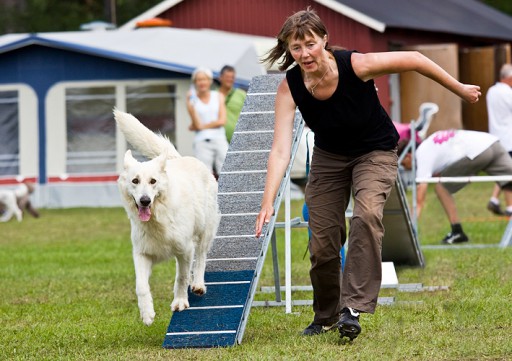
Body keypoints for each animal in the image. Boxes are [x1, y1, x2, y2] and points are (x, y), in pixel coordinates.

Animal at [113, 108, 219, 324]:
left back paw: (198, 284)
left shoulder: (185, 250)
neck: (158, 219)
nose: (145, 200)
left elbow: (181, 277)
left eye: (153, 181)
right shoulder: (142, 253)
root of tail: (179, 159)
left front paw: (180, 302)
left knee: (201, 257)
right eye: (135, 181)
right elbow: (141, 286)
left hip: (205, 230)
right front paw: (146, 313)